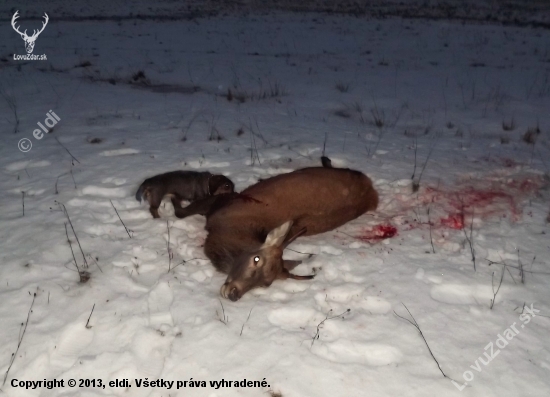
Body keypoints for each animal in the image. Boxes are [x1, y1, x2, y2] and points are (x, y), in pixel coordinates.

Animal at [181, 159, 380, 300]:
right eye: (256, 258)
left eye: (265, 284)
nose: (233, 294)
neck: (225, 231)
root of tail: (371, 188)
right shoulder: (219, 202)